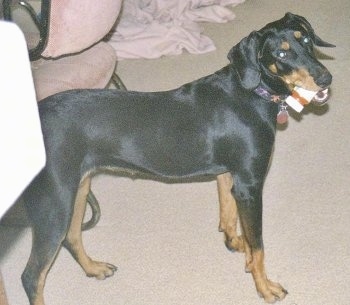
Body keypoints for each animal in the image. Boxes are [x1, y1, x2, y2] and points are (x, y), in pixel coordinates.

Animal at [21, 13, 334, 302]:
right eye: (281, 53)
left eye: (306, 39)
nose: (326, 78)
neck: (251, 93)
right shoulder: (250, 185)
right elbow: (258, 244)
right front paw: (265, 287)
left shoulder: (228, 175)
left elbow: (229, 215)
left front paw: (235, 244)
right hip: (55, 202)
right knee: (32, 275)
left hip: (77, 188)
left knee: (72, 237)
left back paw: (94, 268)